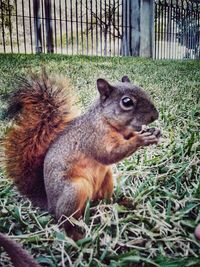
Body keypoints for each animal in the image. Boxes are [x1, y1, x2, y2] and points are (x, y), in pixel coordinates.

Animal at [1, 71, 161, 230]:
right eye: (127, 102)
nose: (155, 115)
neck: (105, 120)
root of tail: (50, 204)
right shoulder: (93, 137)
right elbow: (108, 155)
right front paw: (141, 139)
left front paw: (154, 132)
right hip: (75, 190)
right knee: (64, 217)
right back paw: (76, 232)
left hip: (106, 179)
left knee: (105, 200)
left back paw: (118, 203)